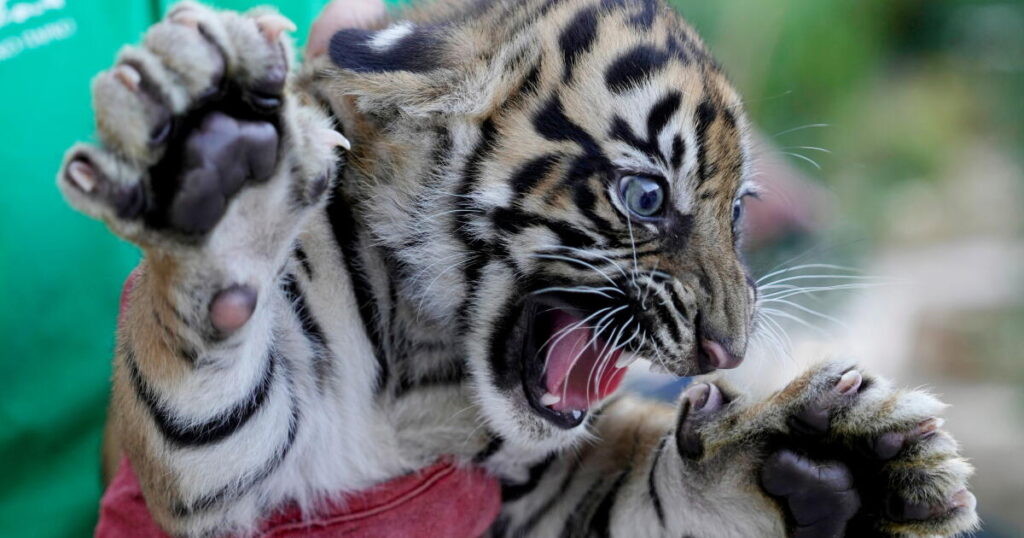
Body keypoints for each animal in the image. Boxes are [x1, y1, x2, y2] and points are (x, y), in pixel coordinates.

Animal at [56, 0, 979, 536]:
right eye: (647, 196)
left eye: (741, 210)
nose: (730, 351)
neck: (425, 371)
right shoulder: (214, 467)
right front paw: (216, 151)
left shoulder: (539, 496)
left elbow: (660, 495)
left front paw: (830, 460)